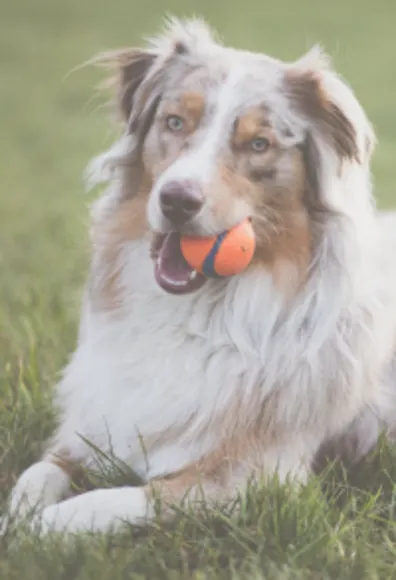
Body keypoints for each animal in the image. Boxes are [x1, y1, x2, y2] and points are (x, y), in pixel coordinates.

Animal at [4, 18, 396, 536]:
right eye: (174, 122)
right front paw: (17, 514)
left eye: (258, 144)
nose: (177, 200)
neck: (201, 311)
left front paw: (46, 525)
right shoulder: (94, 428)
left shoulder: (255, 478)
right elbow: (37, 472)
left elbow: (125, 497)